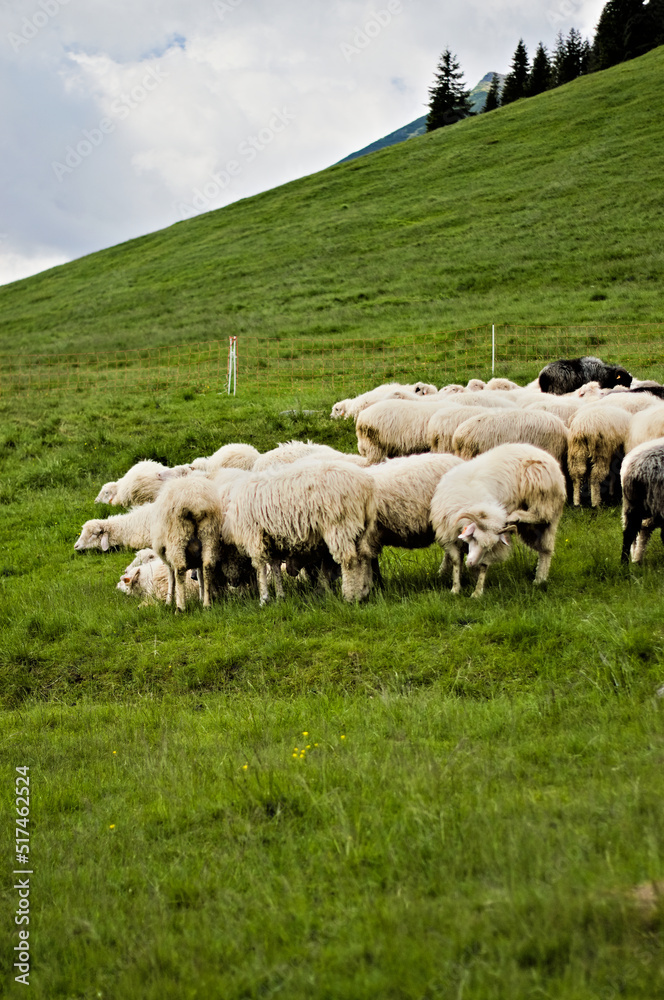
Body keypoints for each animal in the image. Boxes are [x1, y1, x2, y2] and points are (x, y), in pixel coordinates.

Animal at [223, 458, 378, 600]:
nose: (232, 583)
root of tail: (365, 485)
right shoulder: (272, 539)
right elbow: (275, 566)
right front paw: (280, 597)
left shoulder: (255, 537)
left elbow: (260, 568)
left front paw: (264, 599)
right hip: (359, 526)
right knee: (364, 556)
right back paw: (364, 590)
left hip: (340, 524)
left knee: (350, 559)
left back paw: (351, 595)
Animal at [430, 444, 564, 596]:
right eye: (474, 538)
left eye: (488, 546)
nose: (471, 563)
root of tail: (547, 456)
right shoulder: (449, 536)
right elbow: (456, 561)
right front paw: (455, 589)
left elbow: (484, 565)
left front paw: (477, 592)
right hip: (536, 526)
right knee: (545, 549)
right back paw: (540, 579)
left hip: (541, 494)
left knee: (541, 516)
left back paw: (515, 516)